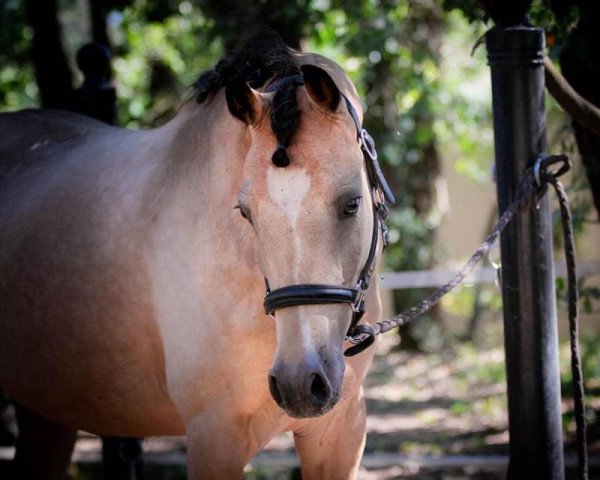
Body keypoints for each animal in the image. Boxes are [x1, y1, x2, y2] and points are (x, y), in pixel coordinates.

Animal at [0, 31, 394, 478]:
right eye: (246, 212)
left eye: (352, 204)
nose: (299, 381)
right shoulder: (214, 435)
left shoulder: (340, 431)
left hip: (46, 412)